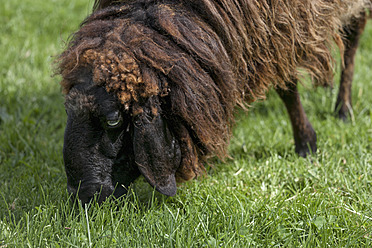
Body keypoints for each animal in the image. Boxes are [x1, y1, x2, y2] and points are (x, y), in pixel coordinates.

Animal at [56, 0, 370, 203]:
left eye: (113, 119)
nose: (79, 196)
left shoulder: (283, 22)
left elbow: (287, 83)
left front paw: (306, 142)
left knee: (353, 37)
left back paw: (343, 108)